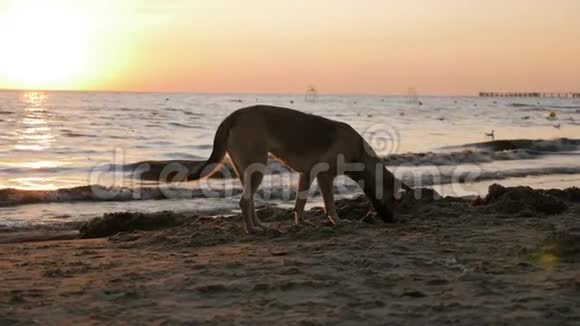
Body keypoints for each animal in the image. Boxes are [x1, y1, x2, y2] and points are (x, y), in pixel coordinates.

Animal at [188, 105, 410, 233]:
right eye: (395, 200)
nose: (394, 221)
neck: (360, 154)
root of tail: (234, 116)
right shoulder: (324, 176)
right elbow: (330, 204)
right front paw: (338, 222)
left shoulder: (307, 174)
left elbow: (300, 203)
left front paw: (301, 222)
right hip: (256, 168)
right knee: (244, 201)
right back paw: (252, 230)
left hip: (247, 170)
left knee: (248, 202)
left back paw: (259, 225)